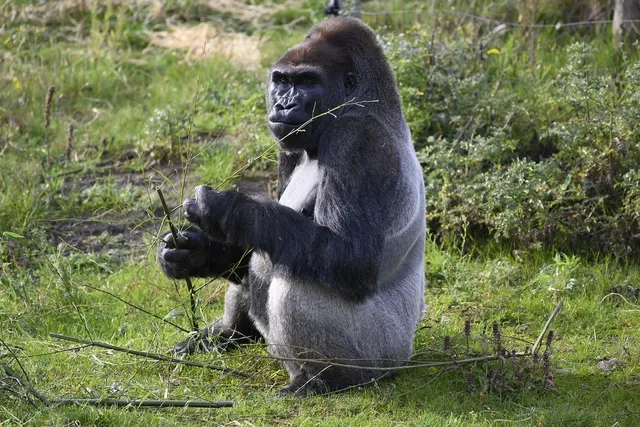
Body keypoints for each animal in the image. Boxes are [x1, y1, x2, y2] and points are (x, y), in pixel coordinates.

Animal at [158, 17, 426, 396]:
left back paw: (324, 379)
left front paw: (228, 208)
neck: (365, 103)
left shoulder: (357, 139)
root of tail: (406, 355)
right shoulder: (289, 148)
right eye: (282, 81)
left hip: (382, 356)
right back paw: (227, 334)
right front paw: (193, 252)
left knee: (296, 273)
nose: (284, 105)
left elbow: (351, 257)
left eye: (308, 82)